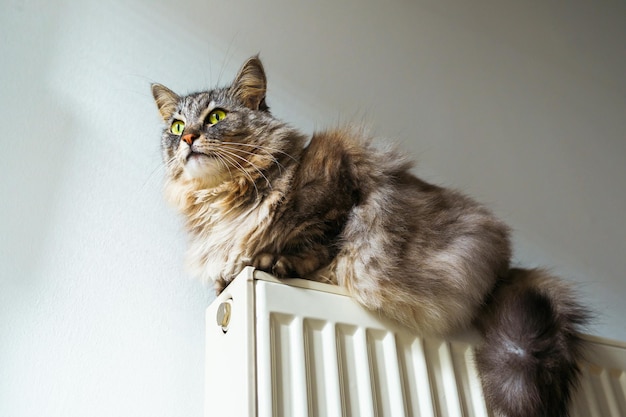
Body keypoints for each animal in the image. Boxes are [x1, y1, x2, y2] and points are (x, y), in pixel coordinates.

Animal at [150, 56, 584, 416]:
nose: (188, 138)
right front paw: (228, 275)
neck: (225, 201)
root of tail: (507, 266)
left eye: (215, 117)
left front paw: (277, 261)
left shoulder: (340, 186)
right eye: (176, 125)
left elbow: (321, 242)